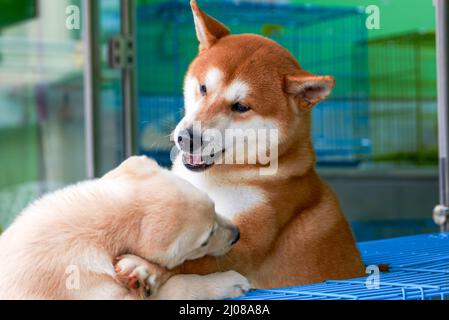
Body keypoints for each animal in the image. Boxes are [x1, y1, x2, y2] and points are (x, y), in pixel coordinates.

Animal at [123, 0, 364, 290]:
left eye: (241, 107)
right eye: (203, 88)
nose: (186, 138)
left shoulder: (246, 242)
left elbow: (194, 260)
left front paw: (146, 266)